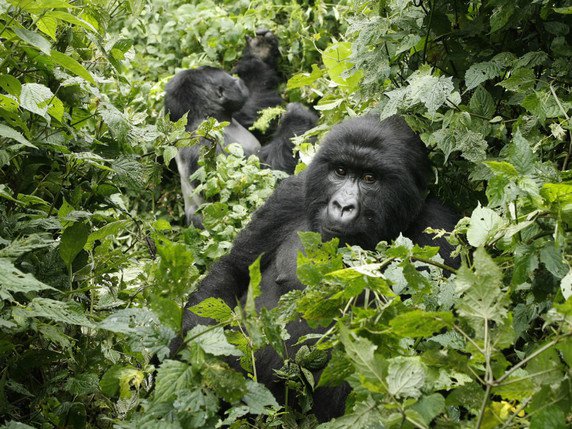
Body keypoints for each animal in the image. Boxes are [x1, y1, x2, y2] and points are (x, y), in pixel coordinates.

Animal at [179, 115, 460, 420]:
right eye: (340, 171)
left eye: (369, 178)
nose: (342, 205)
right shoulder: (289, 195)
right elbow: (233, 271)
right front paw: (198, 361)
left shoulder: (438, 232)